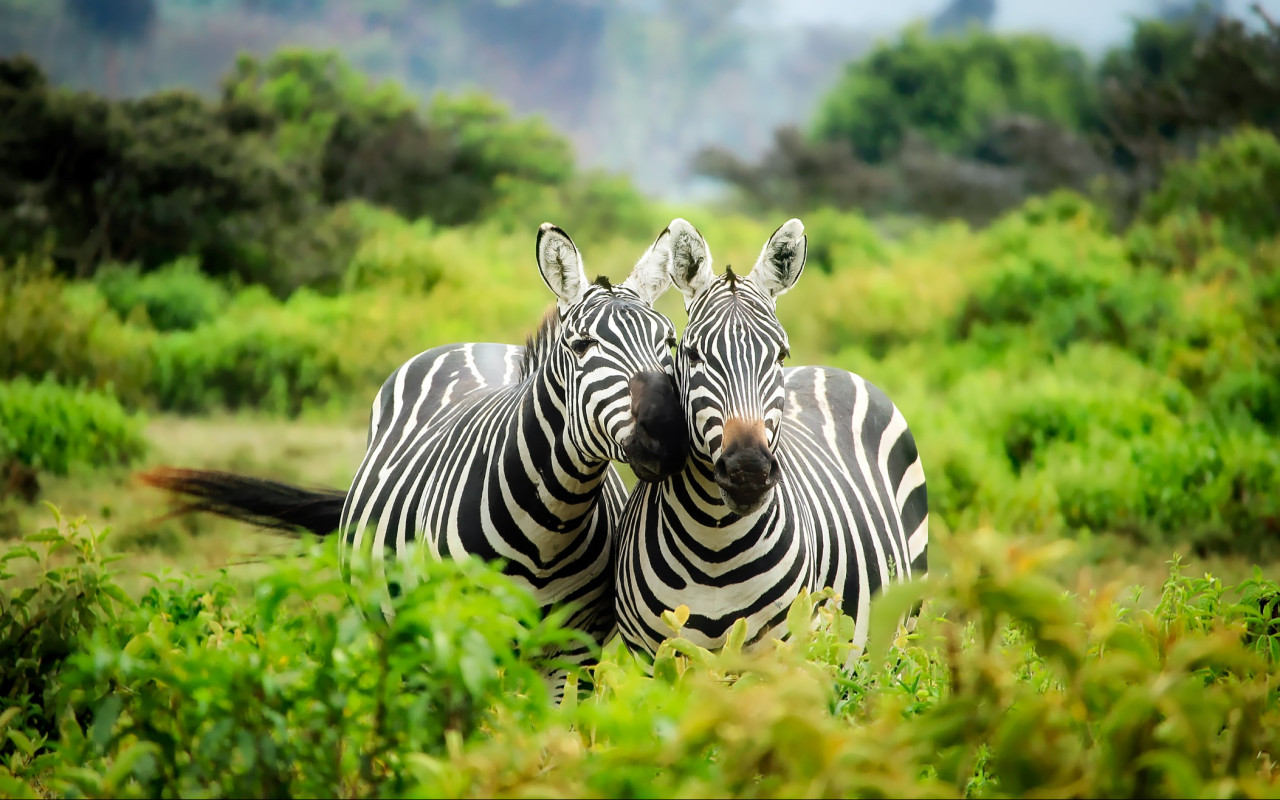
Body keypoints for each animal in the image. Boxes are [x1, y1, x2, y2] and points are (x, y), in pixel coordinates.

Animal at [141, 221, 690, 694]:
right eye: (581, 345)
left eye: (669, 341)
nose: (667, 434)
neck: (549, 525)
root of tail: (476, 343)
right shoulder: (457, 638)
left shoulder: (571, 652)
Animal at [614, 218, 929, 666]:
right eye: (692, 354)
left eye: (780, 355)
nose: (748, 471)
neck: (714, 545)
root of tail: (828, 368)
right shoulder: (653, 658)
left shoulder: (782, 657)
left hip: (900, 633)